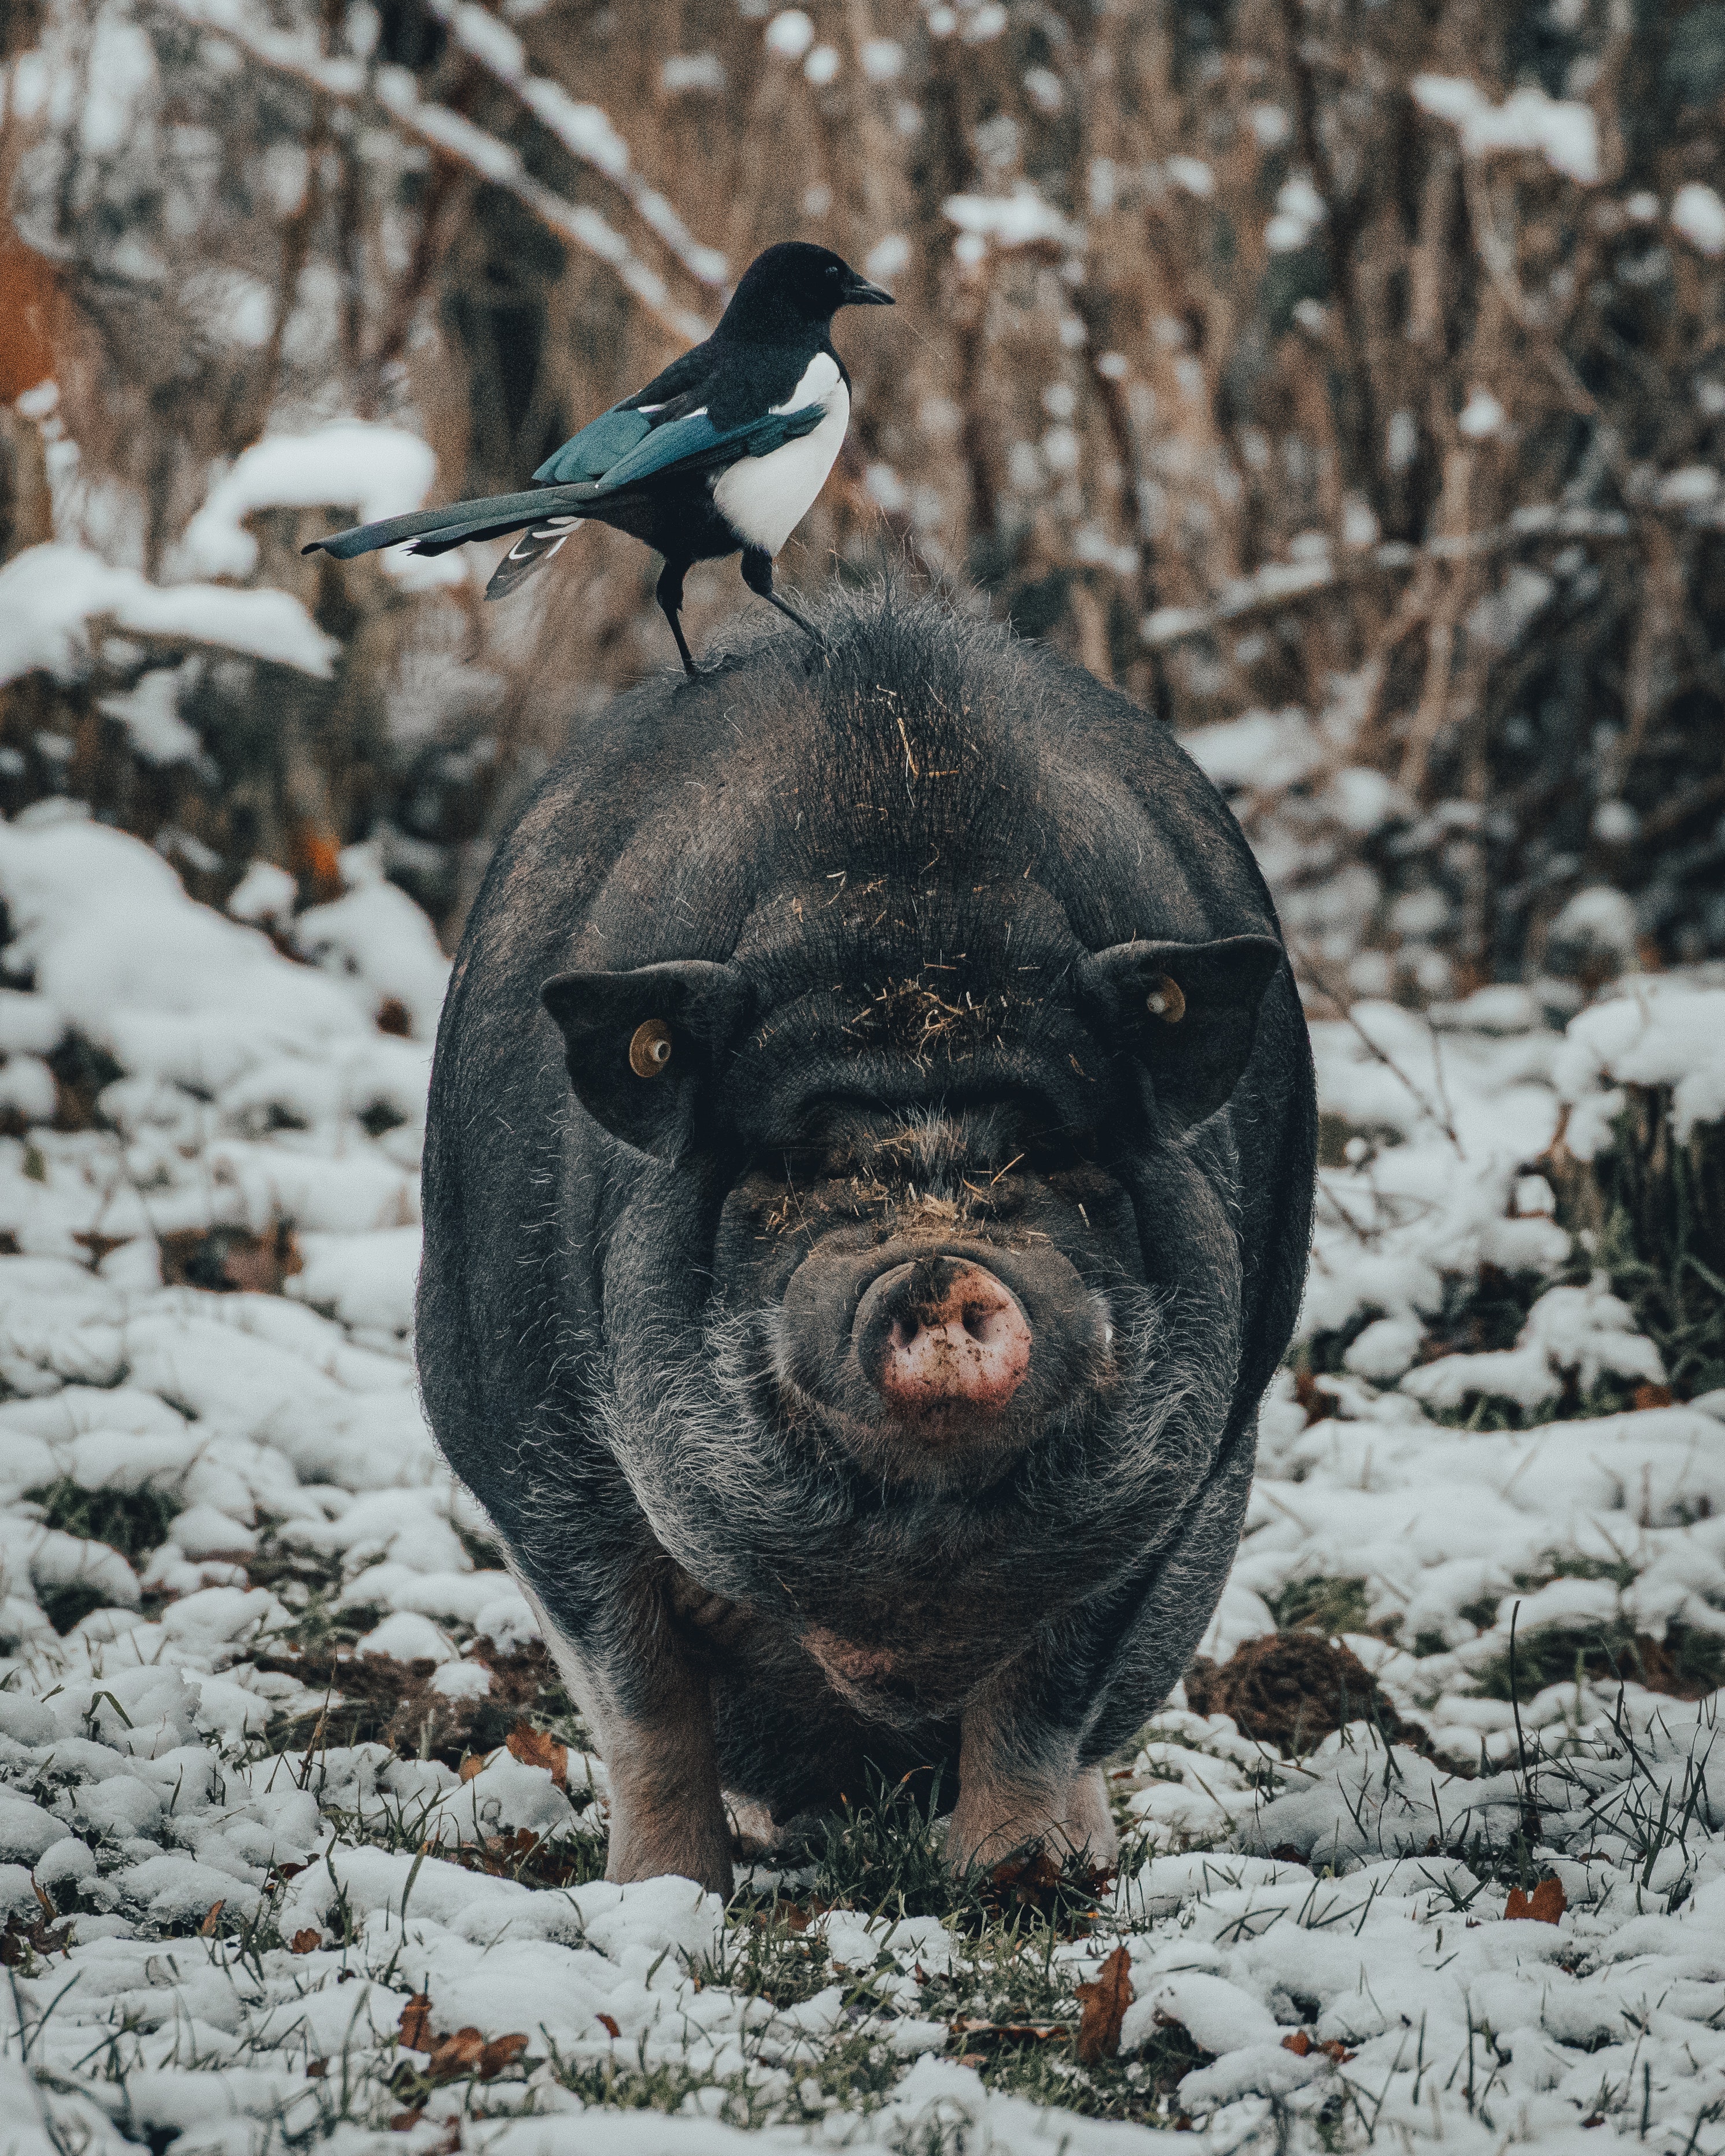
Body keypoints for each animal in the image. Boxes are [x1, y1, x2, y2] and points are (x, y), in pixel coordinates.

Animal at [418, 590, 1311, 1888]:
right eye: (797, 1164)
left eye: (1049, 1150)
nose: (938, 1265)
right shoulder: (532, 1452)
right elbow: (642, 1697)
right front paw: (660, 1893)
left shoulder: (1179, 1485)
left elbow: (1047, 1695)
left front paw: (1016, 1878)